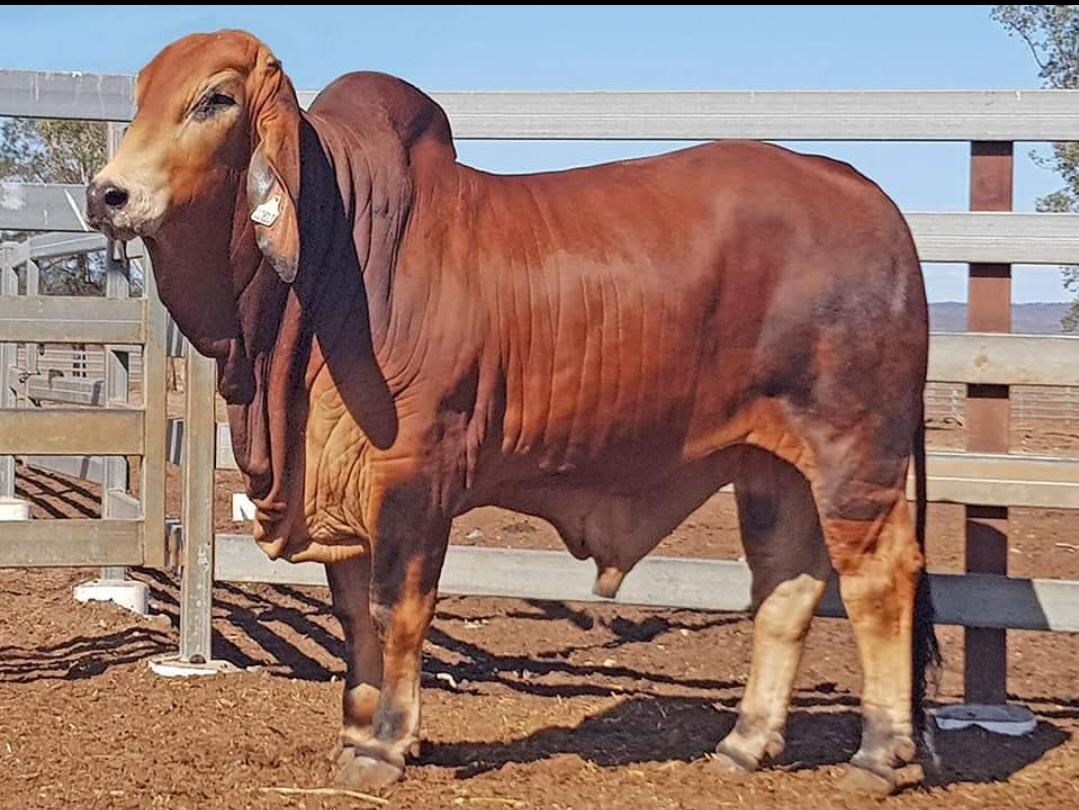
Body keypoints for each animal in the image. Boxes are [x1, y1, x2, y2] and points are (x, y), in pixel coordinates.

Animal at [87, 29, 938, 795]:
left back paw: (876, 756)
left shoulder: (415, 475)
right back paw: (744, 743)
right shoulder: (337, 484)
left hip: (854, 452)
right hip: (772, 465)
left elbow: (396, 610)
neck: (336, 260)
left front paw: (385, 747)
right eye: (140, 97)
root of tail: (867, 195)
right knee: (786, 585)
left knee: (880, 579)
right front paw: (355, 735)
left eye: (215, 99)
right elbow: (353, 616)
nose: (107, 194)